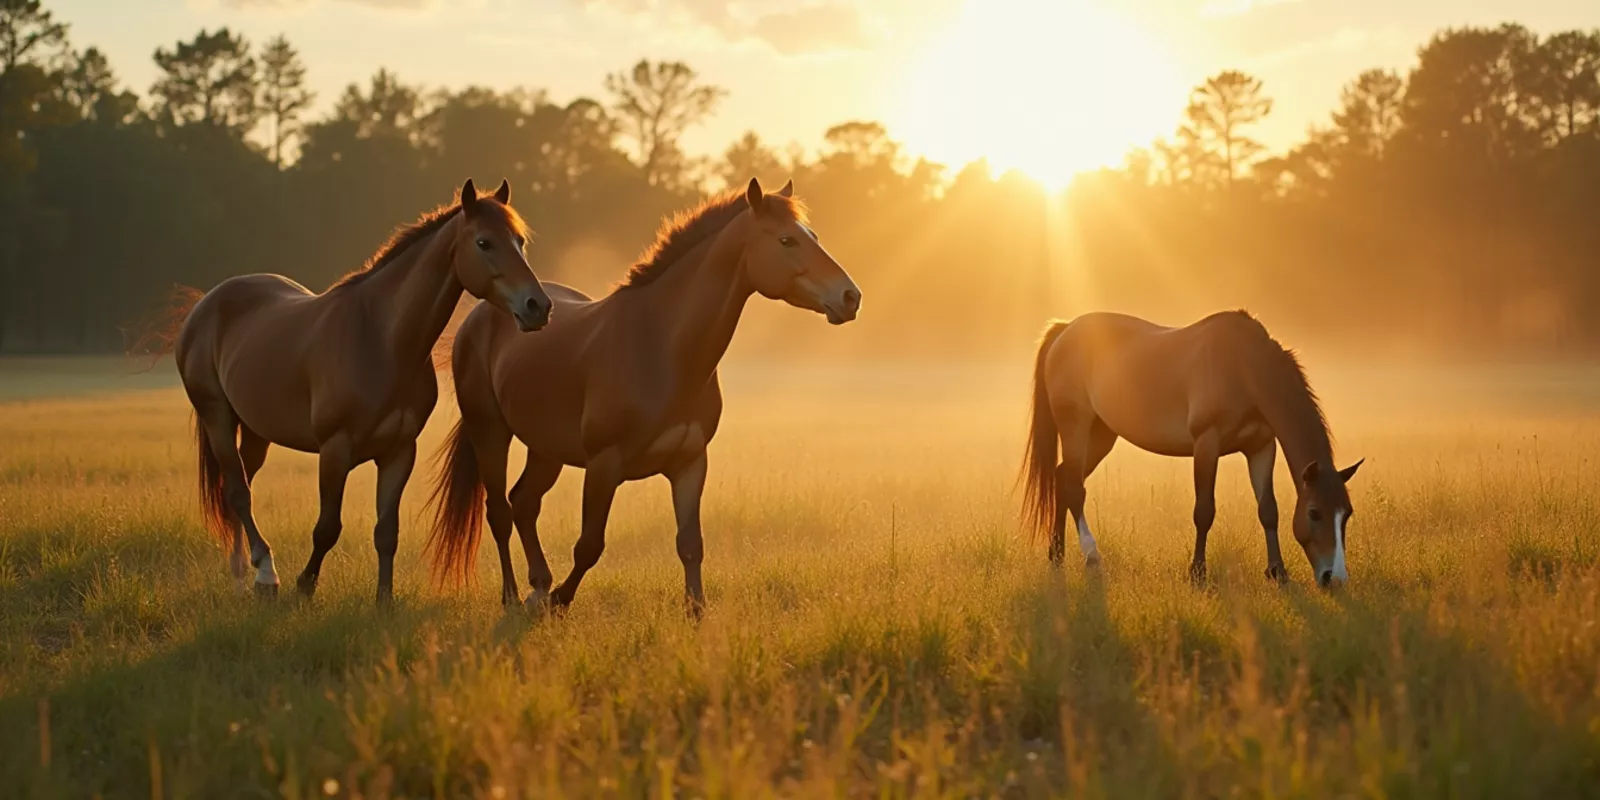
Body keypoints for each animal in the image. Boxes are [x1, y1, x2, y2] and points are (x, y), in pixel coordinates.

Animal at [169, 178, 552, 605]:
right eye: (484, 242)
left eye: (520, 241)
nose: (537, 306)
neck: (380, 338)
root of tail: (206, 304)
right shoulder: (336, 450)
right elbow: (326, 527)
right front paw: (305, 586)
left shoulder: (398, 452)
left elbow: (386, 532)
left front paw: (383, 601)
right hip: (217, 415)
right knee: (238, 491)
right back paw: (267, 572)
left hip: (255, 430)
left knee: (240, 484)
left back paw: (243, 573)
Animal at [425, 178, 862, 614]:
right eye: (787, 239)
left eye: (813, 236)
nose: (850, 297)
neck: (661, 347)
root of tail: (484, 314)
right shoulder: (604, 465)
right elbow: (589, 546)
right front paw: (561, 600)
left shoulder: (689, 463)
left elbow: (690, 545)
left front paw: (696, 612)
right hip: (490, 431)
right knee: (499, 510)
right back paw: (515, 597)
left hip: (546, 449)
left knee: (524, 502)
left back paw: (538, 586)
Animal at [1020, 310, 1363, 588]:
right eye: (1314, 512)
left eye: (1346, 514)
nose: (1335, 579)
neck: (1243, 368)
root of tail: (1065, 330)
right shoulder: (1206, 443)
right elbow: (1204, 511)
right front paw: (1197, 572)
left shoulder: (1262, 447)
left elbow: (1268, 510)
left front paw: (1277, 572)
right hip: (1076, 427)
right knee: (1073, 487)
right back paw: (1091, 555)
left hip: (1102, 434)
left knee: (1062, 479)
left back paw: (1057, 554)